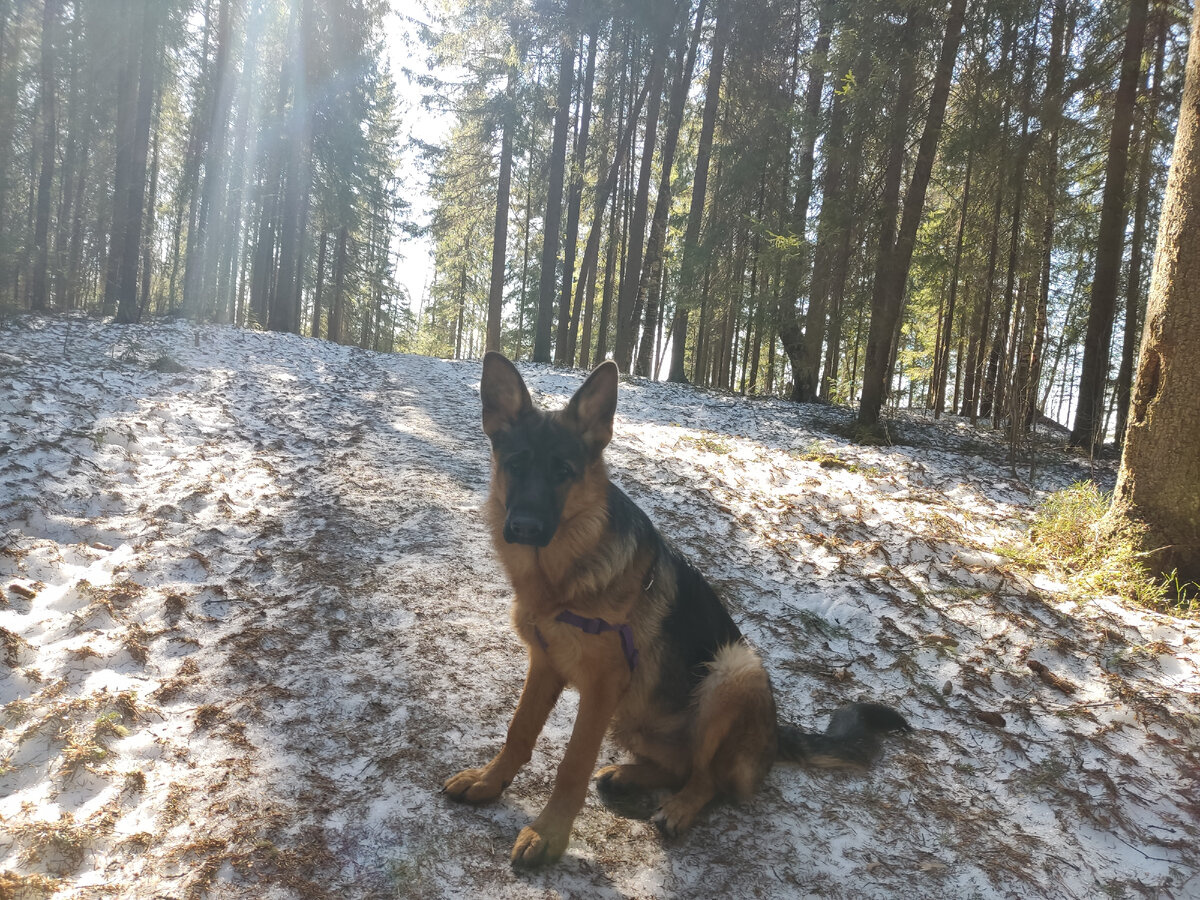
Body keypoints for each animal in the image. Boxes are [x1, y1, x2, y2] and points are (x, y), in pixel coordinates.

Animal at [446, 355, 912, 868]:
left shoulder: (601, 689)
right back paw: (630, 775)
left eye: (563, 472)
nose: (524, 527)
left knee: (708, 778)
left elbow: (572, 764)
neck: (561, 577)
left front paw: (549, 834)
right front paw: (490, 781)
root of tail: (773, 736)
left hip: (733, 670)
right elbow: (519, 730)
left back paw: (681, 807)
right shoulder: (545, 665)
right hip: (634, 715)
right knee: (680, 765)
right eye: (515, 465)